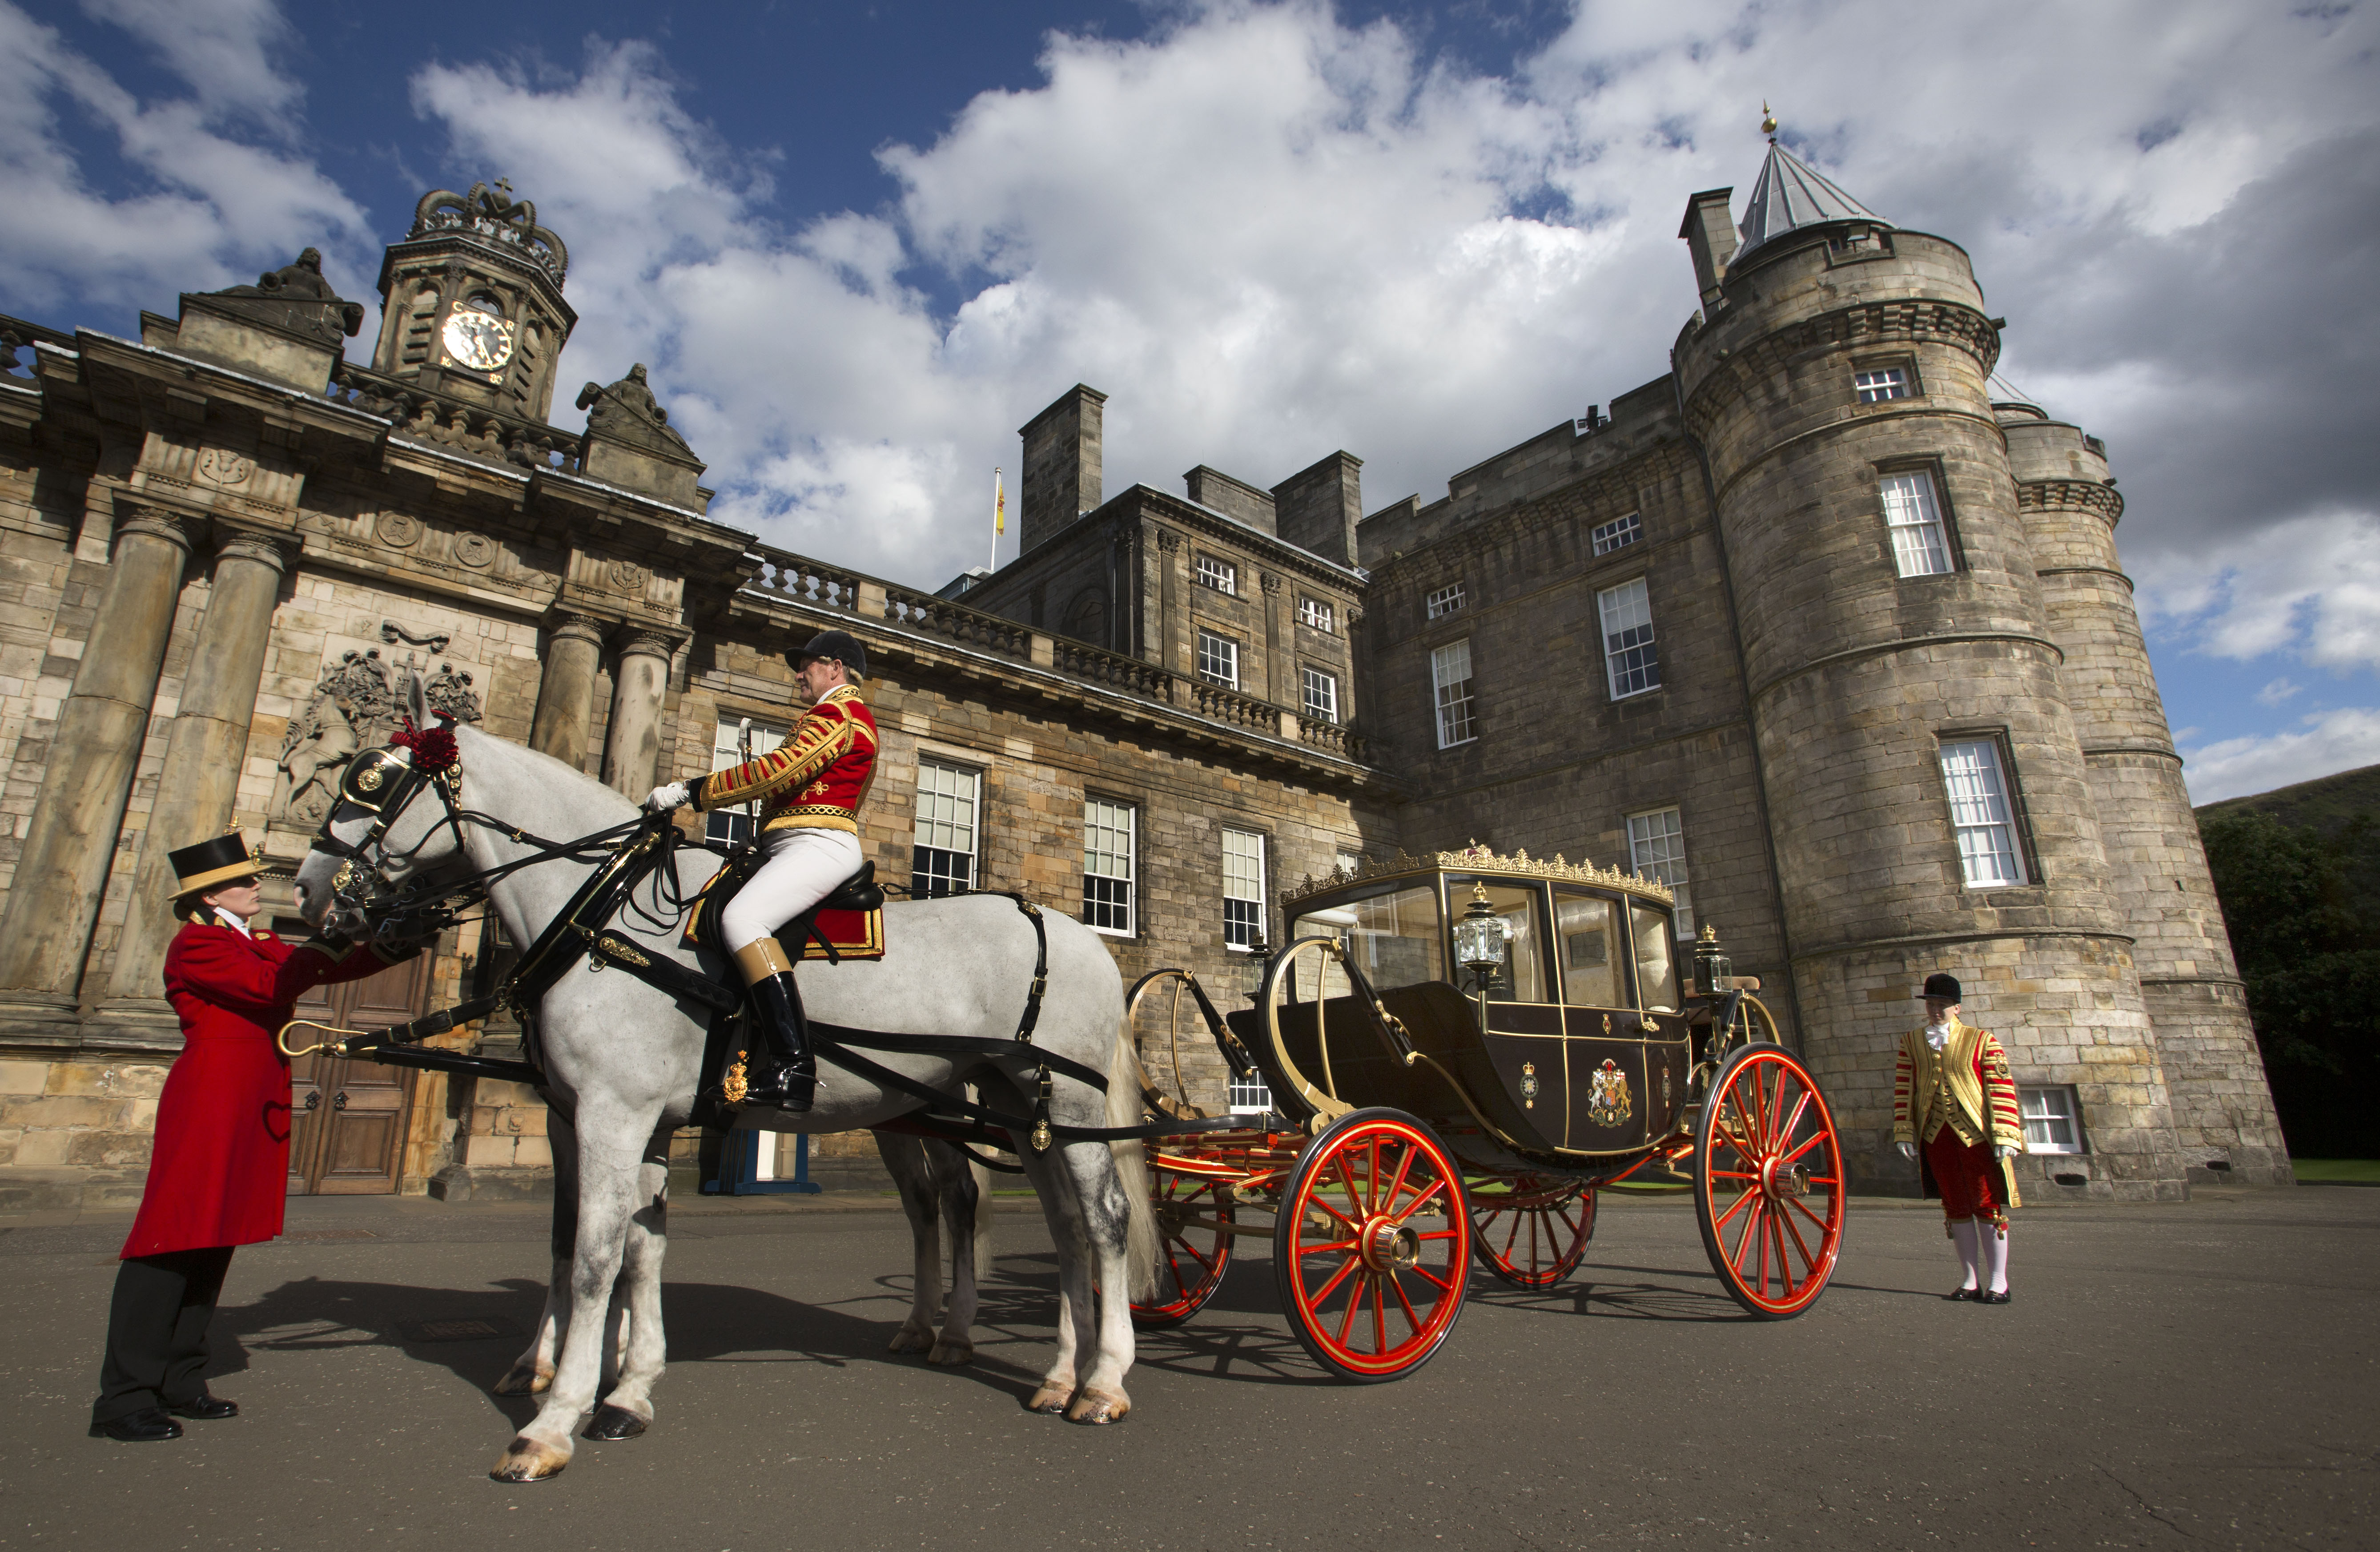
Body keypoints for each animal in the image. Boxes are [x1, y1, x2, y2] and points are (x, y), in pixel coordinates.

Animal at [298, 695, 1152, 1485]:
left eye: (374, 782)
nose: (311, 896)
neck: (608, 915)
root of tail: (1073, 929)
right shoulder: (596, 1119)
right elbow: (621, 1245)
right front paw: (624, 1388)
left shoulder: (613, 1115)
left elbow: (595, 1257)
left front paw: (554, 1418)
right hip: (1017, 1108)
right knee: (1054, 1223)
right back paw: (1055, 1373)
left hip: (1061, 1105)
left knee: (1100, 1220)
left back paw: (1103, 1379)